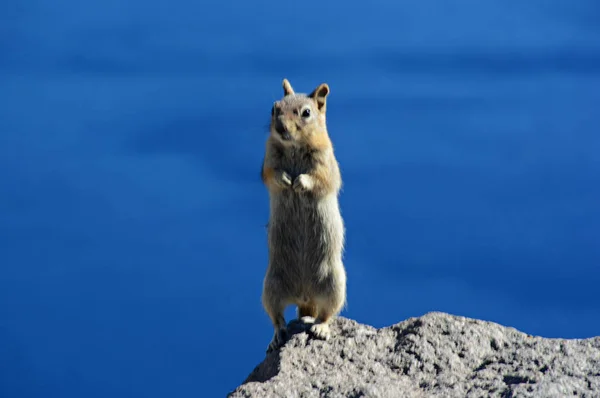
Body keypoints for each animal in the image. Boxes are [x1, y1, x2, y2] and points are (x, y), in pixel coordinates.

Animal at [258, 79, 346, 352]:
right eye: (274, 107)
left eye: (306, 113)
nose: (279, 127)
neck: (294, 147)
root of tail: (305, 296)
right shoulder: (268, 158)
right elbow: (271, 174)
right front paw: (286, 180)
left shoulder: (326, 161)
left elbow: (320, 178)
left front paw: (300, 182)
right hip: (271, 286)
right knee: (277, 316)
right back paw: (277, 336)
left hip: (334, 284)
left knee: (327, 313)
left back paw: (320, 328)